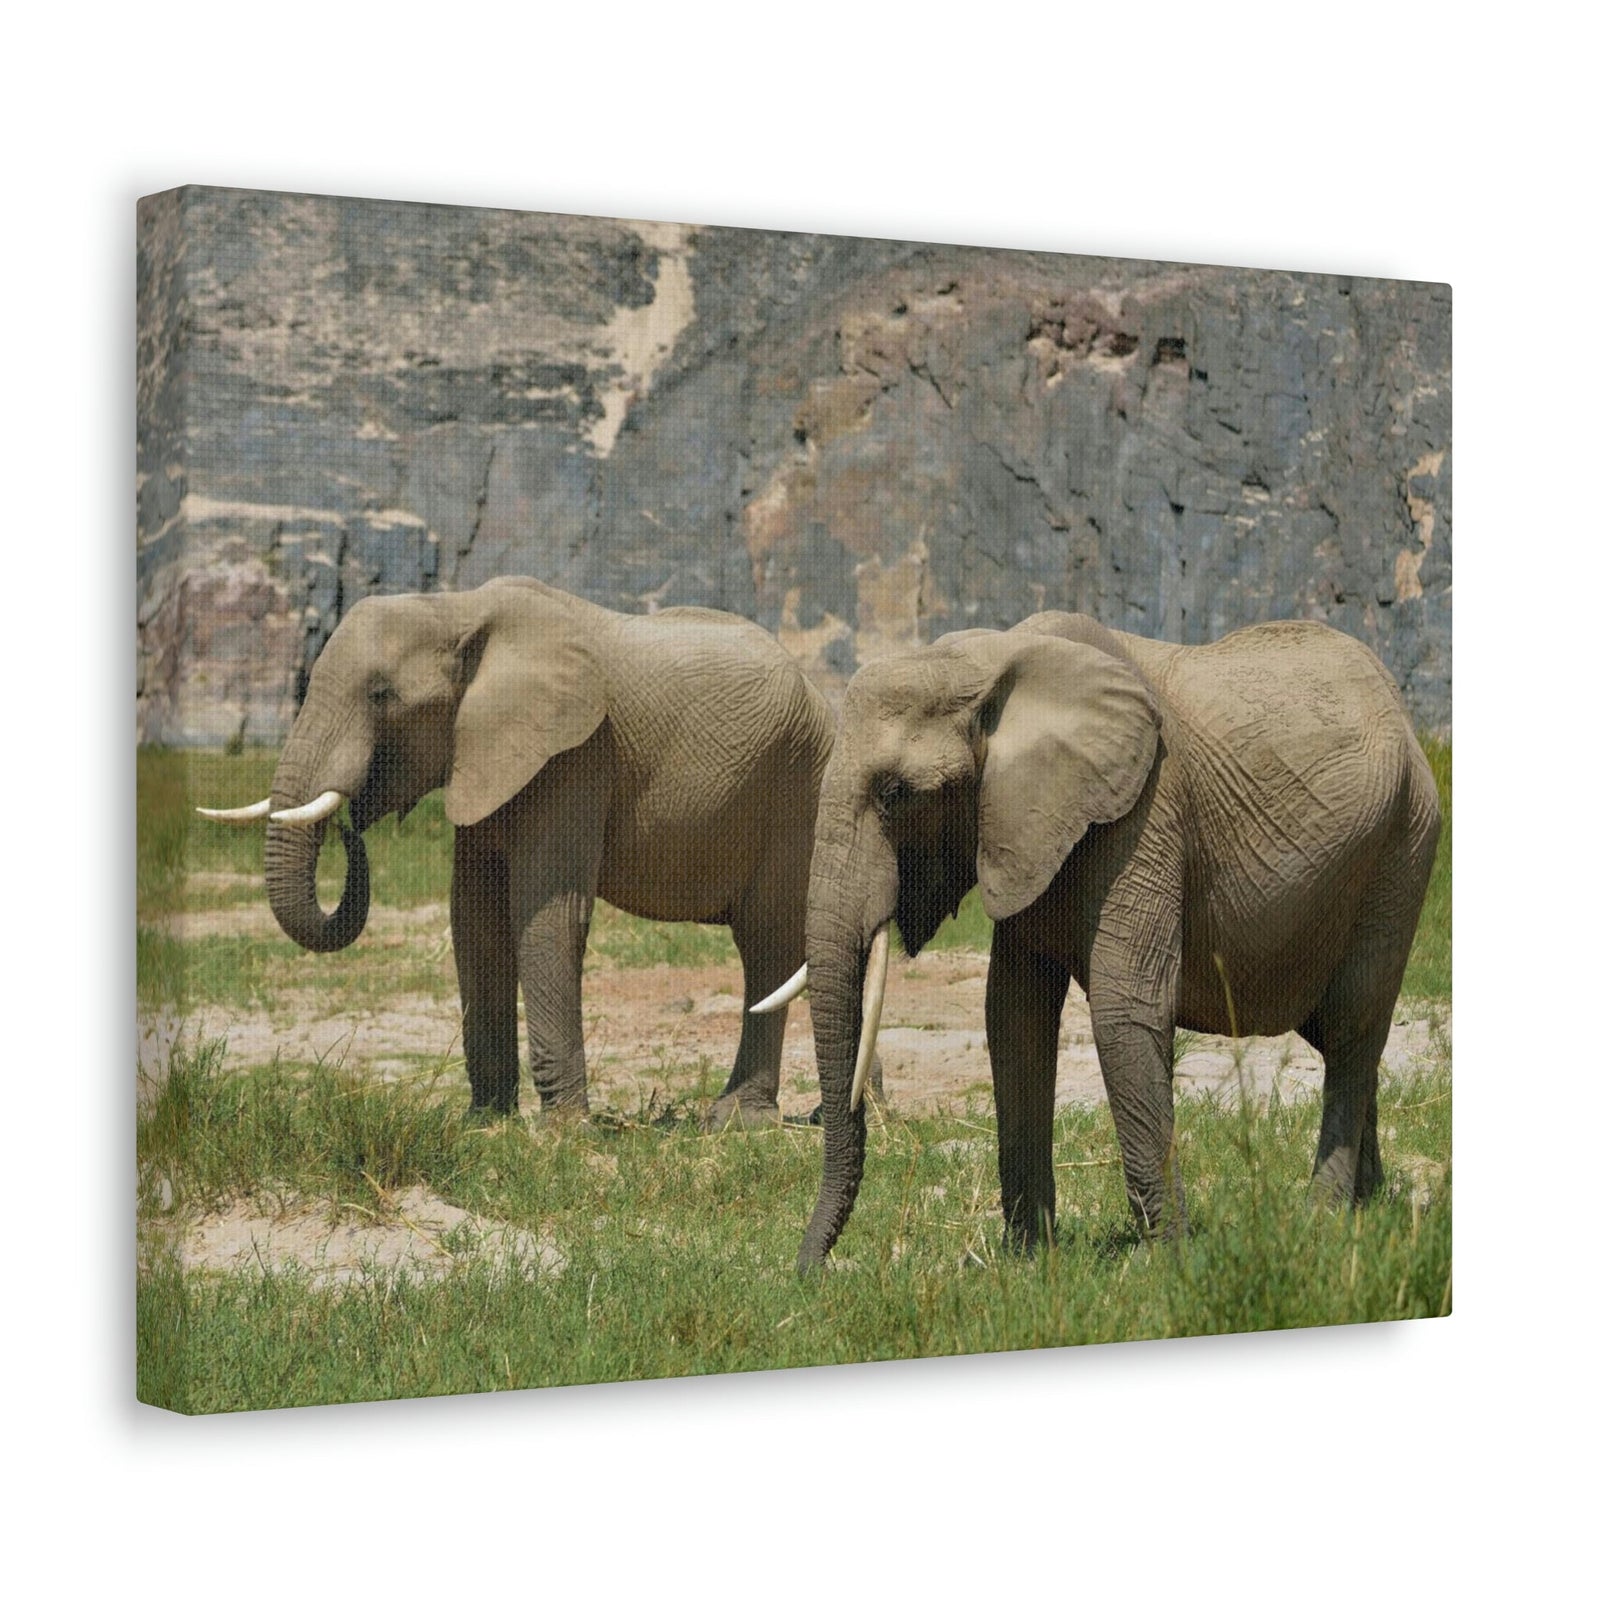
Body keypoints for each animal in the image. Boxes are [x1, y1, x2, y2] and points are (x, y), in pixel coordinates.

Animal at [199, 577, 834, 1127]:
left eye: (381, 695)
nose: (350, 830)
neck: (456, 609)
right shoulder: (484, 754)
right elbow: (475, 919)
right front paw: (484, 1122)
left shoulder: (576, 751)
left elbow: (547, 913)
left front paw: (564, 1132)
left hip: (798, 788)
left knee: (766, 945)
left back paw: (737, 1122)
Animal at [760, 612, 1441, 1270]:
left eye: (895, 794)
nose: (813, 1271)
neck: (988, 663)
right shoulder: (1024, 825)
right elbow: (1013, 1015)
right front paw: (1027, 1261)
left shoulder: (1146, 811)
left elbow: (1124, 1011)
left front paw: (1161, 1264)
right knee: (1338, 1035)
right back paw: (1369, 1205)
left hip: (1403, 845)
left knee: (1353, 1025)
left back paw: (1322, 1220)